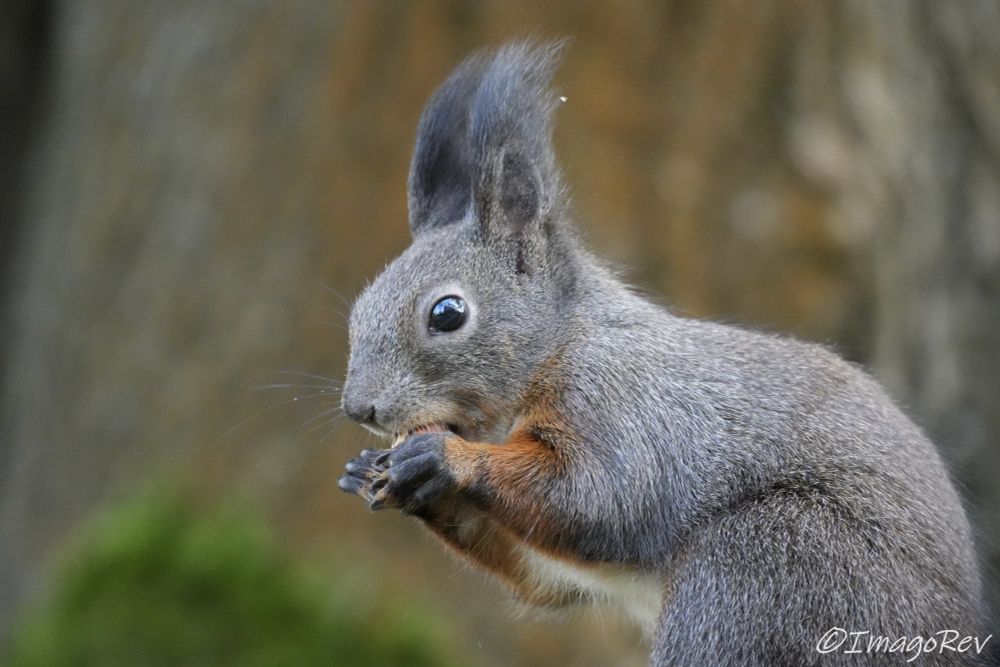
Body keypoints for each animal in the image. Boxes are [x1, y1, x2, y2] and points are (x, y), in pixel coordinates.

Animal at [338, 41, 988, 665]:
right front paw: (374, 474)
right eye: (358, 307)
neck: (557, 347)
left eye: (447, 314)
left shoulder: (623, 406)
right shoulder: (560, 564)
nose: (358, 408)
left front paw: (444, 458)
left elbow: (597, 498)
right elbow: (542, 576)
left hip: (767, 565)